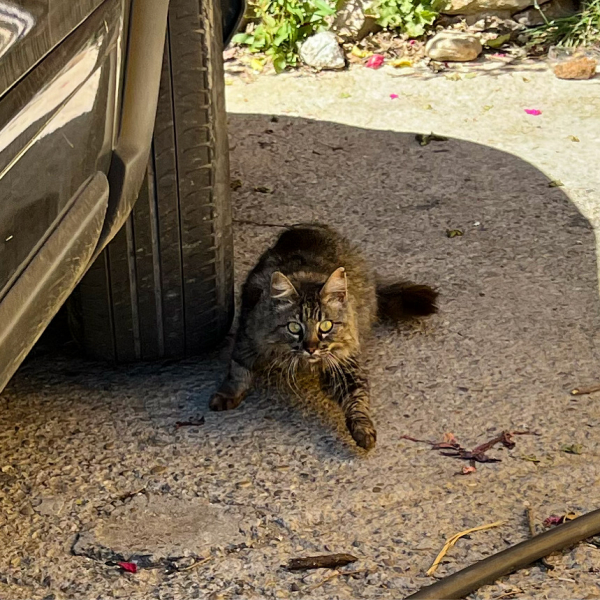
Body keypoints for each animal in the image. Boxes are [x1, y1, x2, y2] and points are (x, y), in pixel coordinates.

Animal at [210, 225, 436, 450]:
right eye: (294, 327)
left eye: (326, 326)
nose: (311, 347)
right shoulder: (248, 337)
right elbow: (238, 372)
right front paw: (227, 394)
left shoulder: (345, 365)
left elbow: (358, 399)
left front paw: (363, 431)